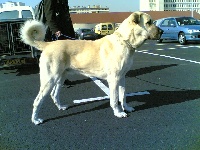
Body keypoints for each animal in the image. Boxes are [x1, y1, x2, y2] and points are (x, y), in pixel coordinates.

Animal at [20, 11, 162, 125]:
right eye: (149, 22)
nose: (162, 32)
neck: (124, 41)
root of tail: (48, 44)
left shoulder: (122, 78)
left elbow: (123, 96)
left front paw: (126, 107)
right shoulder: (114, 79)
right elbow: (115, 98)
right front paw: (118, 113)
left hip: (61, 77)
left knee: (54, 94)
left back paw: (61, 107)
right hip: (50, 79)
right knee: (38, 100)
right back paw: (35, 120)